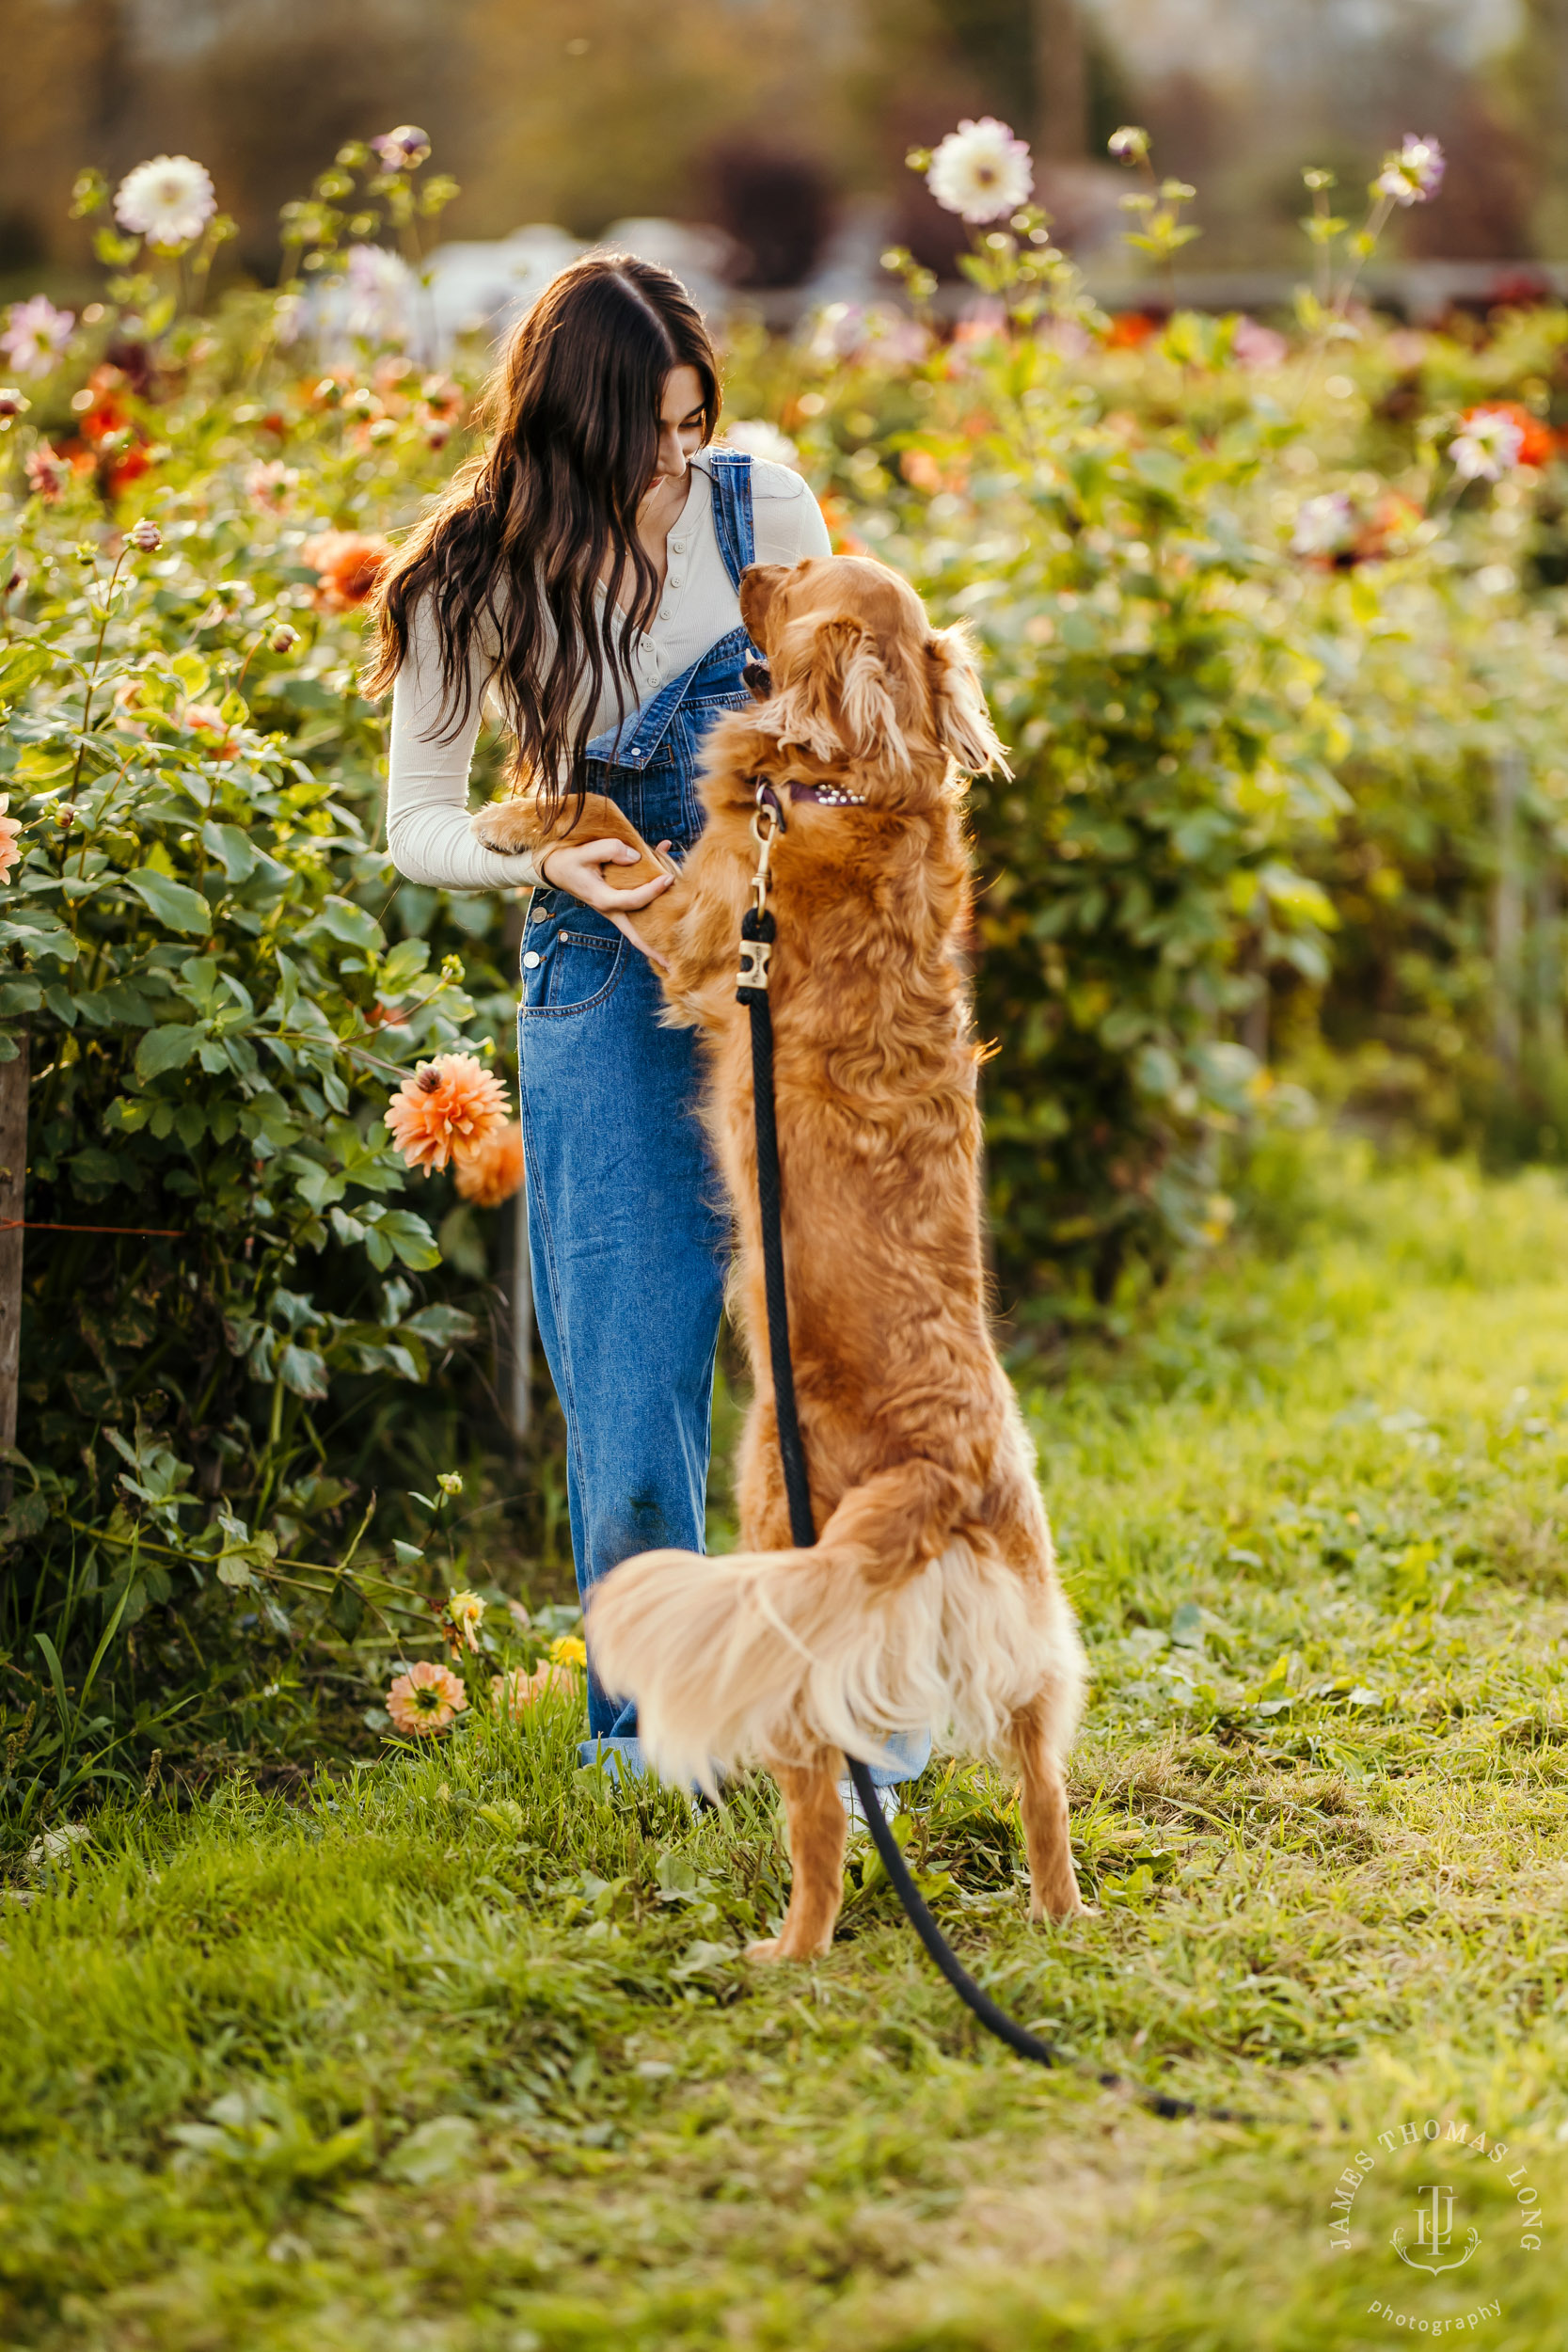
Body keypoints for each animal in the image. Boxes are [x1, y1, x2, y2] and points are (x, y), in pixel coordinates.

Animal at [474, 550, 1090, 1947]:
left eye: (798, 578)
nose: (750, 558)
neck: (854, 788)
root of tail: (934, 1472)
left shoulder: (693, 926)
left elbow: (602, 806)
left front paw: (514, 814)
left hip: (767, 1538)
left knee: (821, 1817)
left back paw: (786, 1948)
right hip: (1026, 1640)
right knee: (1037, 1780)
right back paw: (1055, 1914)